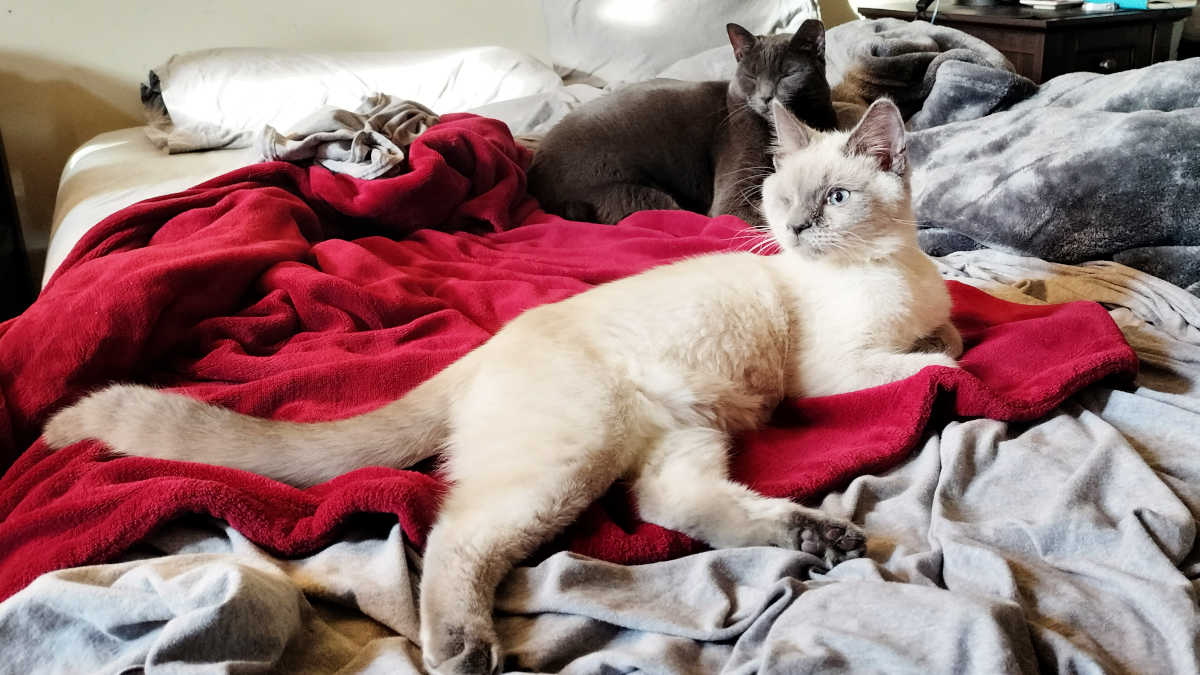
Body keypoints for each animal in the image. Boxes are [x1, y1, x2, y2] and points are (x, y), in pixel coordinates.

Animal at [44, 98, 961, 675]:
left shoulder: (915, 318)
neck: (891, 271)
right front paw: (947, 368)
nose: (795, 230)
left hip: (682, 435)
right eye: (781, 198)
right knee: (453, 538)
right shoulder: (833, 370)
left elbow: (944, 333)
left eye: (835, 198)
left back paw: (822, 537)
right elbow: (922, 364)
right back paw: (462, 650)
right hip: (564, 466)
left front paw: (945, 338)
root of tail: (484, 348)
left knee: (675, 506)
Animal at [526, 20, 838, 228]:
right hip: (633, 195)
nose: (765, 97)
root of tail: (535, 178)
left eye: (788, 74)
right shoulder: (734, 193)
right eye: (750, 75)